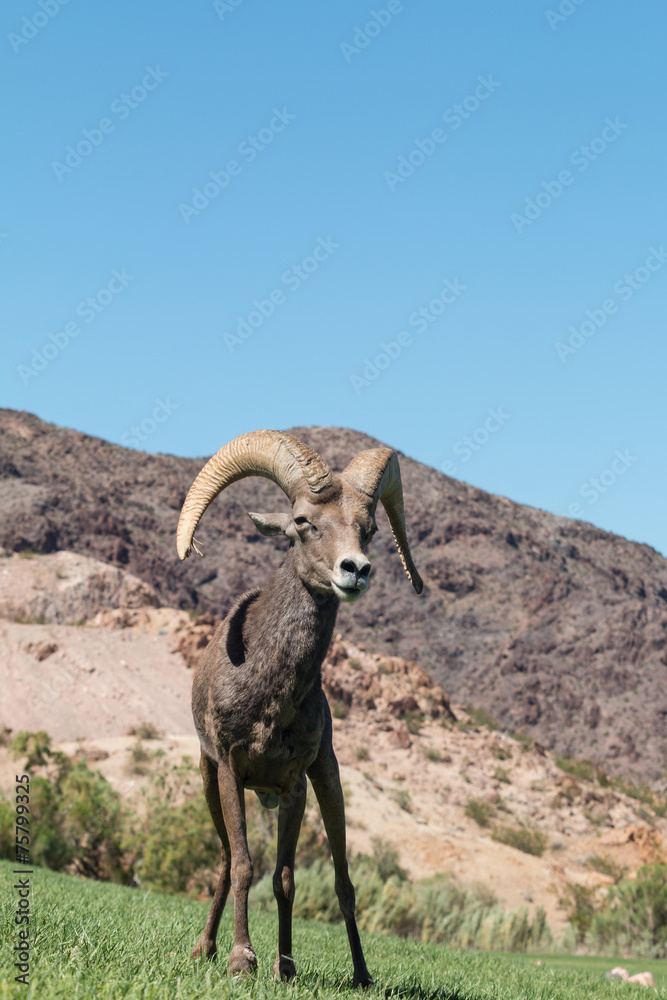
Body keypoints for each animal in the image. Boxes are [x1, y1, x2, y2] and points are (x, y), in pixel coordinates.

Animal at [176, 429, 422, 985]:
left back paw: (360, 976)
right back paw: (204, 949)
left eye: (369, 529)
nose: (356, 570)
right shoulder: (229, 769)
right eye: (304, 522)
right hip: (209, 782)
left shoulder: (293, 786)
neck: (271, 693)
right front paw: (241, 960)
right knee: (224, 860)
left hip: (327, 783)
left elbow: (284, 880)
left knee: (343, 884)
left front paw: (283, 967)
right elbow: (244, 864)